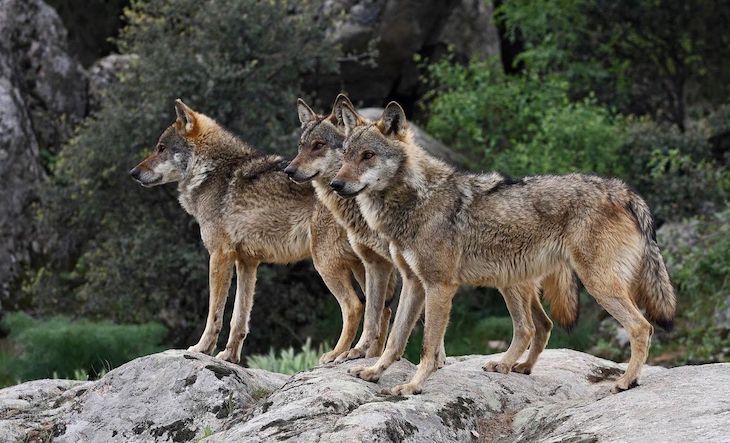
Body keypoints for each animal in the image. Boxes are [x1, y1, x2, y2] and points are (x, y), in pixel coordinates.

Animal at [129, 99, 370, 364]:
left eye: (161, 148)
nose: (133, 173)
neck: (211, 171)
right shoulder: (247, 262)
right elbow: (239, 318)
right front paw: (229, 356)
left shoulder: (219, 256)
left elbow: (215, 313)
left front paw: (201, 349)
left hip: (325, 264)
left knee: (355, 306)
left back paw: (338, 354)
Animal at [287, 95, 581, 369]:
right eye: (301, 146)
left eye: (319, 146)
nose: (288, 170)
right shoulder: (375, 264)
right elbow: (374, 313)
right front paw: (362, 354)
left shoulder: (421, 271)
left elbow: (417, 320)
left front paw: (434, 360)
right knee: (544, 323)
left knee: (532, 324)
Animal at [333, 100, 675, 396]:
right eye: (346, 156)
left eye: (368, 155)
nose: (336, 184)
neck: (416, 200)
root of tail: (624, 190)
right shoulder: (414, 283)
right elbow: (395, 338)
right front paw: (373, 371)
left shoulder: (439, 286)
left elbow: (428, 346)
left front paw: (413, 385)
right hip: (511, 280)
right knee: (532, 328)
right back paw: (512, 365)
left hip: (595, 285)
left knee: (641, 327)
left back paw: (626, 381)